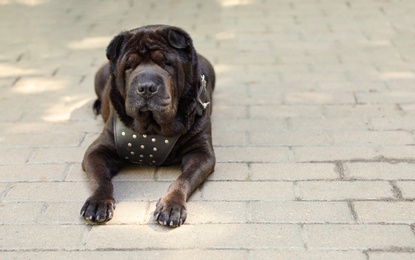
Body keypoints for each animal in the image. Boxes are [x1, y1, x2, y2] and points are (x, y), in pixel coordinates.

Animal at [82, 24, 218, 228]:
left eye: (166, 63)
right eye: (128, 65)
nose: (146, 87)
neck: (153, 127)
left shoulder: (201, 152)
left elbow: (183, 179)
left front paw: (171, 206)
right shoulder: (97, 150)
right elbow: (101, 178)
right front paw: (98, 202)